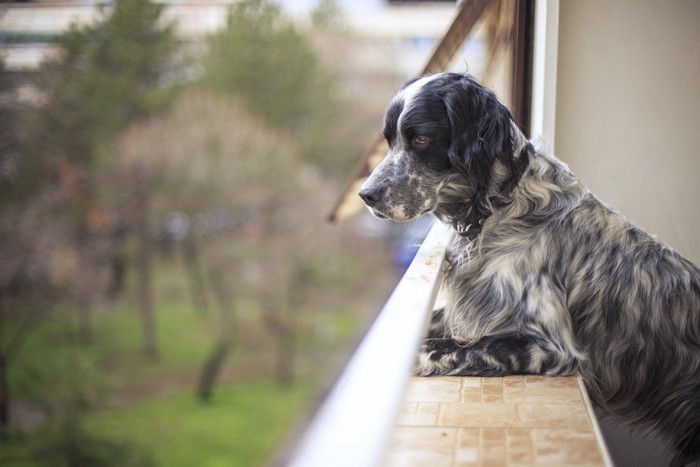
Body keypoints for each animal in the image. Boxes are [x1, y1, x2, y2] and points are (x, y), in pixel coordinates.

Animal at [358, 72, 700, 464]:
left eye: (421, 138)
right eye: (390, 140)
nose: (366, 195)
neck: (498, 207)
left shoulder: (550, 345)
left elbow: (438, 347)